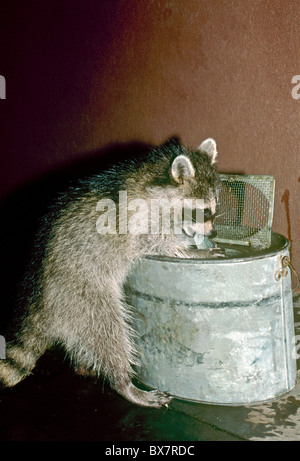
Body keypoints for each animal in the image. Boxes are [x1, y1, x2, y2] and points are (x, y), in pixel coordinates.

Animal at [0, 137, 220, 406]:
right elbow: (157, 243)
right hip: (81, 297)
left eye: (214, 209)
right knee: (108, 331)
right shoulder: (140, 220)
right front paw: (191, 250)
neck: (156, 178)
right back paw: (123, 382)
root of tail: (39, 302)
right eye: (205, 211)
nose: (212, 232)